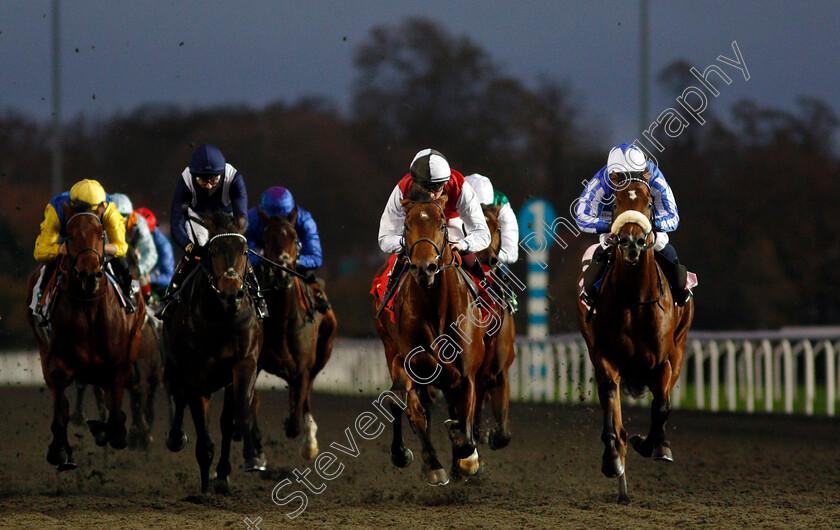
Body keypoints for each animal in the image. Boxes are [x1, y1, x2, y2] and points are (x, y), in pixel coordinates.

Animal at [24, 200, 146, 468]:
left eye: (101, 234)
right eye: (70, 235)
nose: (89, 275)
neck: (89, 306)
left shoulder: (118, 359)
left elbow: (116, 395)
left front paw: (114, 429)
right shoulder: (56, 356)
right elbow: (61, 393)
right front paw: (59, 447)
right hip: (43, 346)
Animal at [163, 210, 262, 490]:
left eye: (245, 251)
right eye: (213, 251)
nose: (231, 291)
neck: (222, 318)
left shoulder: (244, 364)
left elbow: (235, 418)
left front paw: (235, 467)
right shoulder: (194, 374)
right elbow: (204, 439)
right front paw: (204, 490)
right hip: (174, 368)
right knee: (178, 396)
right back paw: (176, 438)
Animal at [253, 206, 338, 458]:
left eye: (295, 238)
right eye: (267, 239)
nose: (282, 273)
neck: (281, 321)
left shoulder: (302, 367)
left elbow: (294, 422)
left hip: (323, 352)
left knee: (307, 393)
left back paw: (309, 440)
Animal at [372, 192, 486, 484]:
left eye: (443, 224)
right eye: (407, 226)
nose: (425, 268)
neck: (437, 309)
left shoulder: (469, 372)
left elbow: (466, 432)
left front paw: (465, 453)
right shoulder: (409, 358)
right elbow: (409, 398)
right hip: (389, 347)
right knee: (407, 402)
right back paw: (427, 462)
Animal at [576, 172, 696, 504]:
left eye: (649, 202)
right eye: (615, 203)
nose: (632, 242)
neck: (634, 299)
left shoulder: (662, 360)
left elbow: (663, 406)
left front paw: (654, 445)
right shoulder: (605, 357)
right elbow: (611, 407)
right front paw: (612, 459)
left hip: (679, 347)